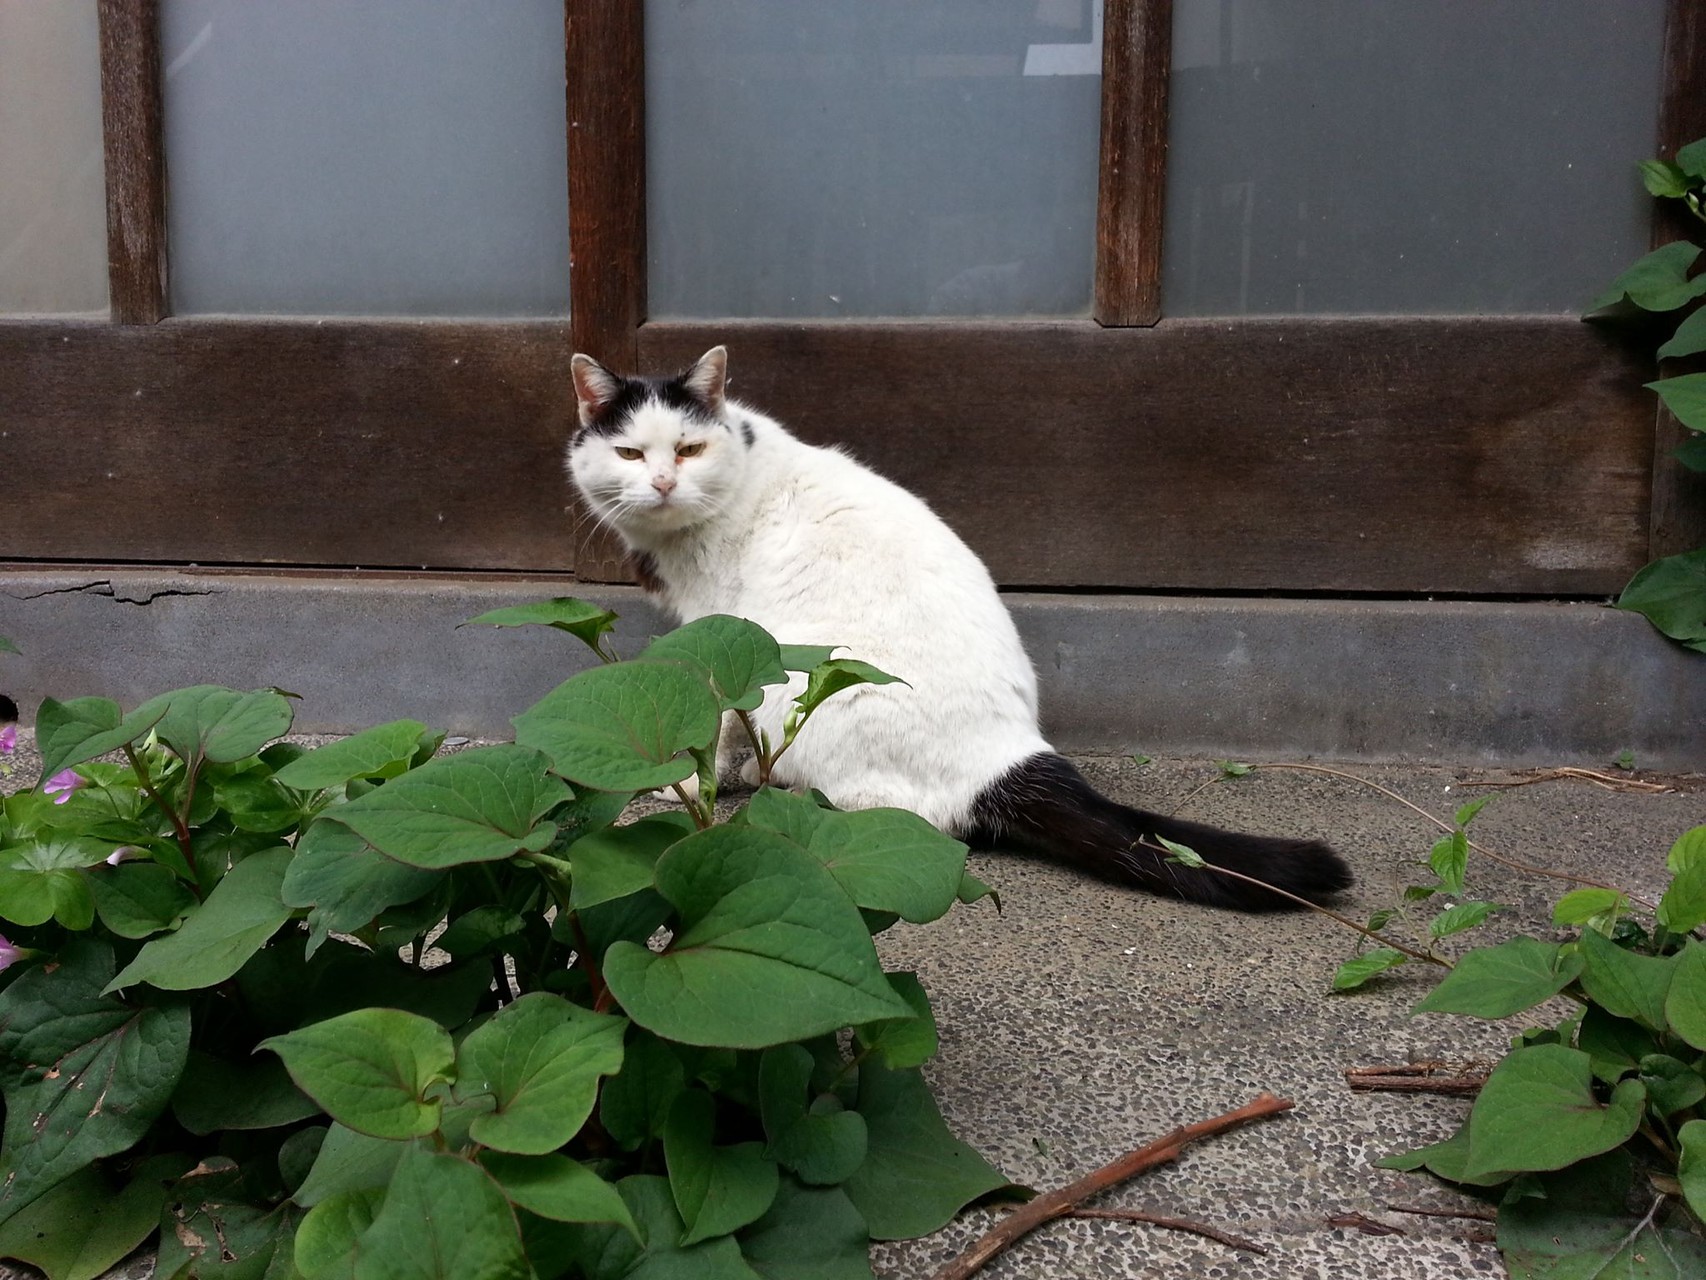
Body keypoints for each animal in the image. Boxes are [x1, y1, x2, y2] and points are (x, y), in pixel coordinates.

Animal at [566, 348, 1351, 914]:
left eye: (688, 450)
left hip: (814, 687)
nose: (663, 484)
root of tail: (1008, 758)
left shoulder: (728, 635)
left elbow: (722, 722)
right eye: (631, 454)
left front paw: (693, 787)